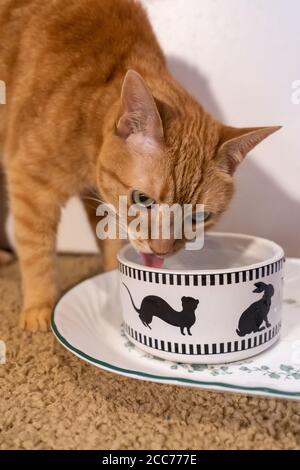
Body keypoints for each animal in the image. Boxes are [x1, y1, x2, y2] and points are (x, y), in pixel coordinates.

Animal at [1, 0, 280, 332]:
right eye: (143, 199)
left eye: (200, 217)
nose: (161, 251)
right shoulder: (31, 184)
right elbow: (37, 250)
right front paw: (39, 307)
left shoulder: (101, 199)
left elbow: (110, 240)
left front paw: (111, 275)